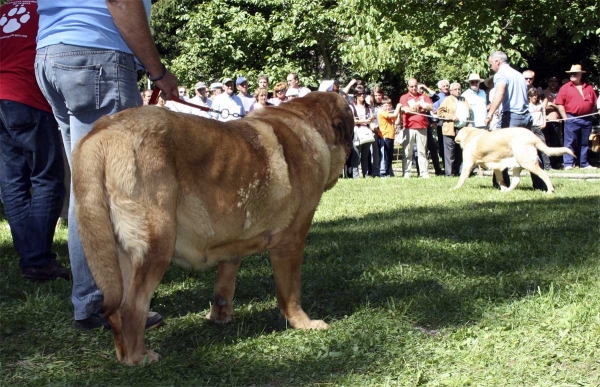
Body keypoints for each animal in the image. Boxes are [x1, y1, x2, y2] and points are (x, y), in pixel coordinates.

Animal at [72, 92, 354, 366]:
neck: (308, 124)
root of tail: (103, 132)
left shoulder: (232, 241)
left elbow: (225, 281)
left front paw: (219, 315)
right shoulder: (291, 242)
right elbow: (291, 293)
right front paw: (304, 323)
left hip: (117, 257)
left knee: (116, 312)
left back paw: (123, 353)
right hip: (156, 246)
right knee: (131, 308)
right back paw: (137, 357)